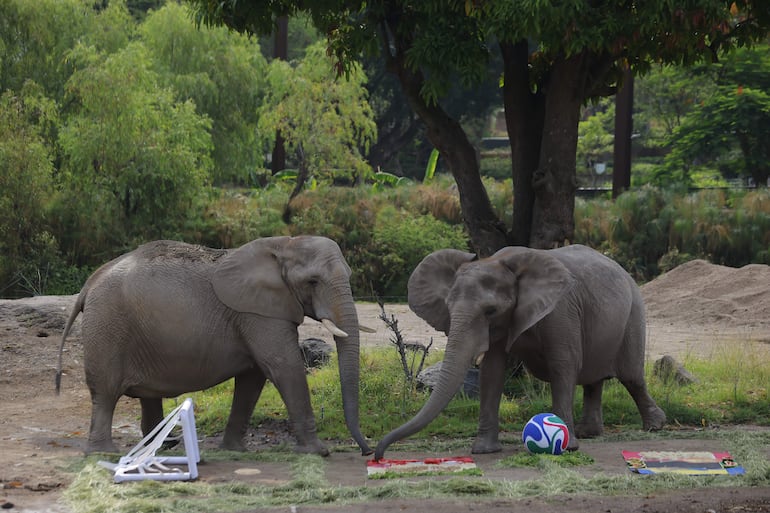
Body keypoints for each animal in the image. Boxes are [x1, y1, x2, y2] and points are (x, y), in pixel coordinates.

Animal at [56, 236, 373, 457]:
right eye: (313, 281)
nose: (368, 450)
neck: (284, 245)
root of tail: (90, 283)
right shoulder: (258, 313)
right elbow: (283, 366)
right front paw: (318, 452)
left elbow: (253, 377)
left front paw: (235, 450)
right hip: (107, 328)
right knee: (105, 393)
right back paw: (104, 453)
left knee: (147, 396)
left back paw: (159, 448)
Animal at [374, 244, 666, 460]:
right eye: (447, 306)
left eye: (490, 311)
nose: (377, 454)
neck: (501, 262)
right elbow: (492, 371)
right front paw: (484, 450)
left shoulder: (561, 310)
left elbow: (564, 365)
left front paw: (566, 448)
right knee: (594, 380)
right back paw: (589, 433)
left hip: (634, 314)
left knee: (631, 377)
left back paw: (655, 426)